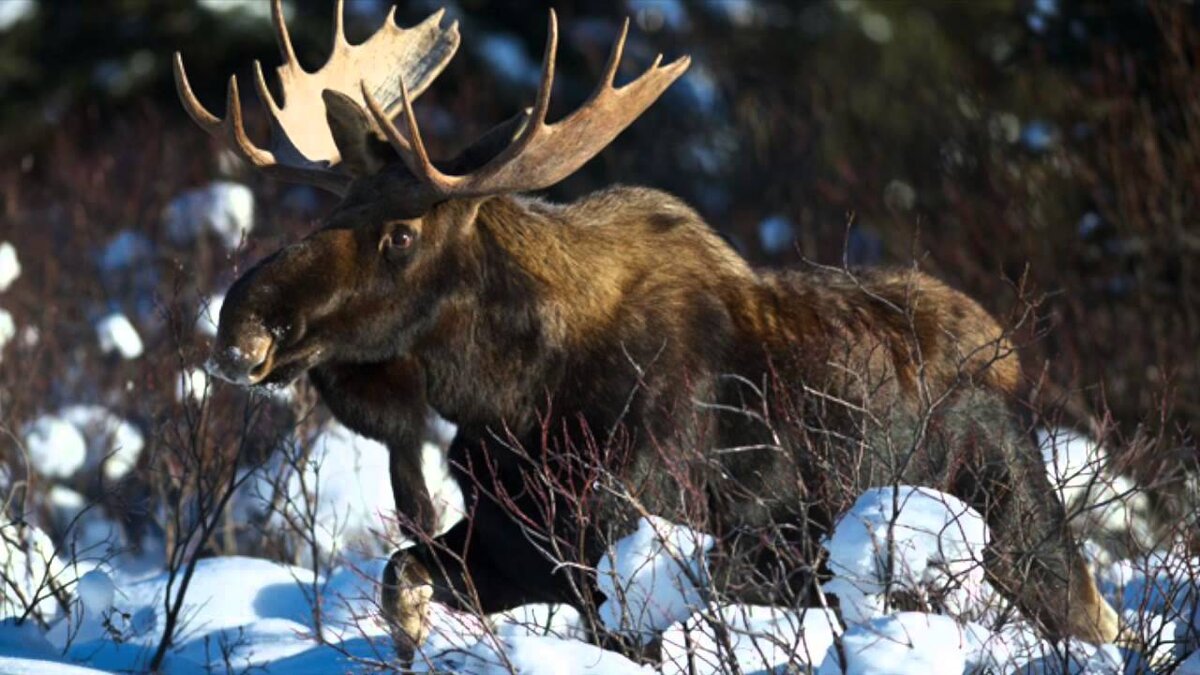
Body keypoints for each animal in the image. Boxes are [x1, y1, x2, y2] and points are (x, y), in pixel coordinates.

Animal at [174, 0, 1118, 658]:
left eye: (400, 234)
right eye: (327, 210)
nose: (239, 324)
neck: (510, 401)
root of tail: (1012, 359)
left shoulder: (635, 566)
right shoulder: (516, 546)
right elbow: (399, 574)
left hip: (1021, 537)